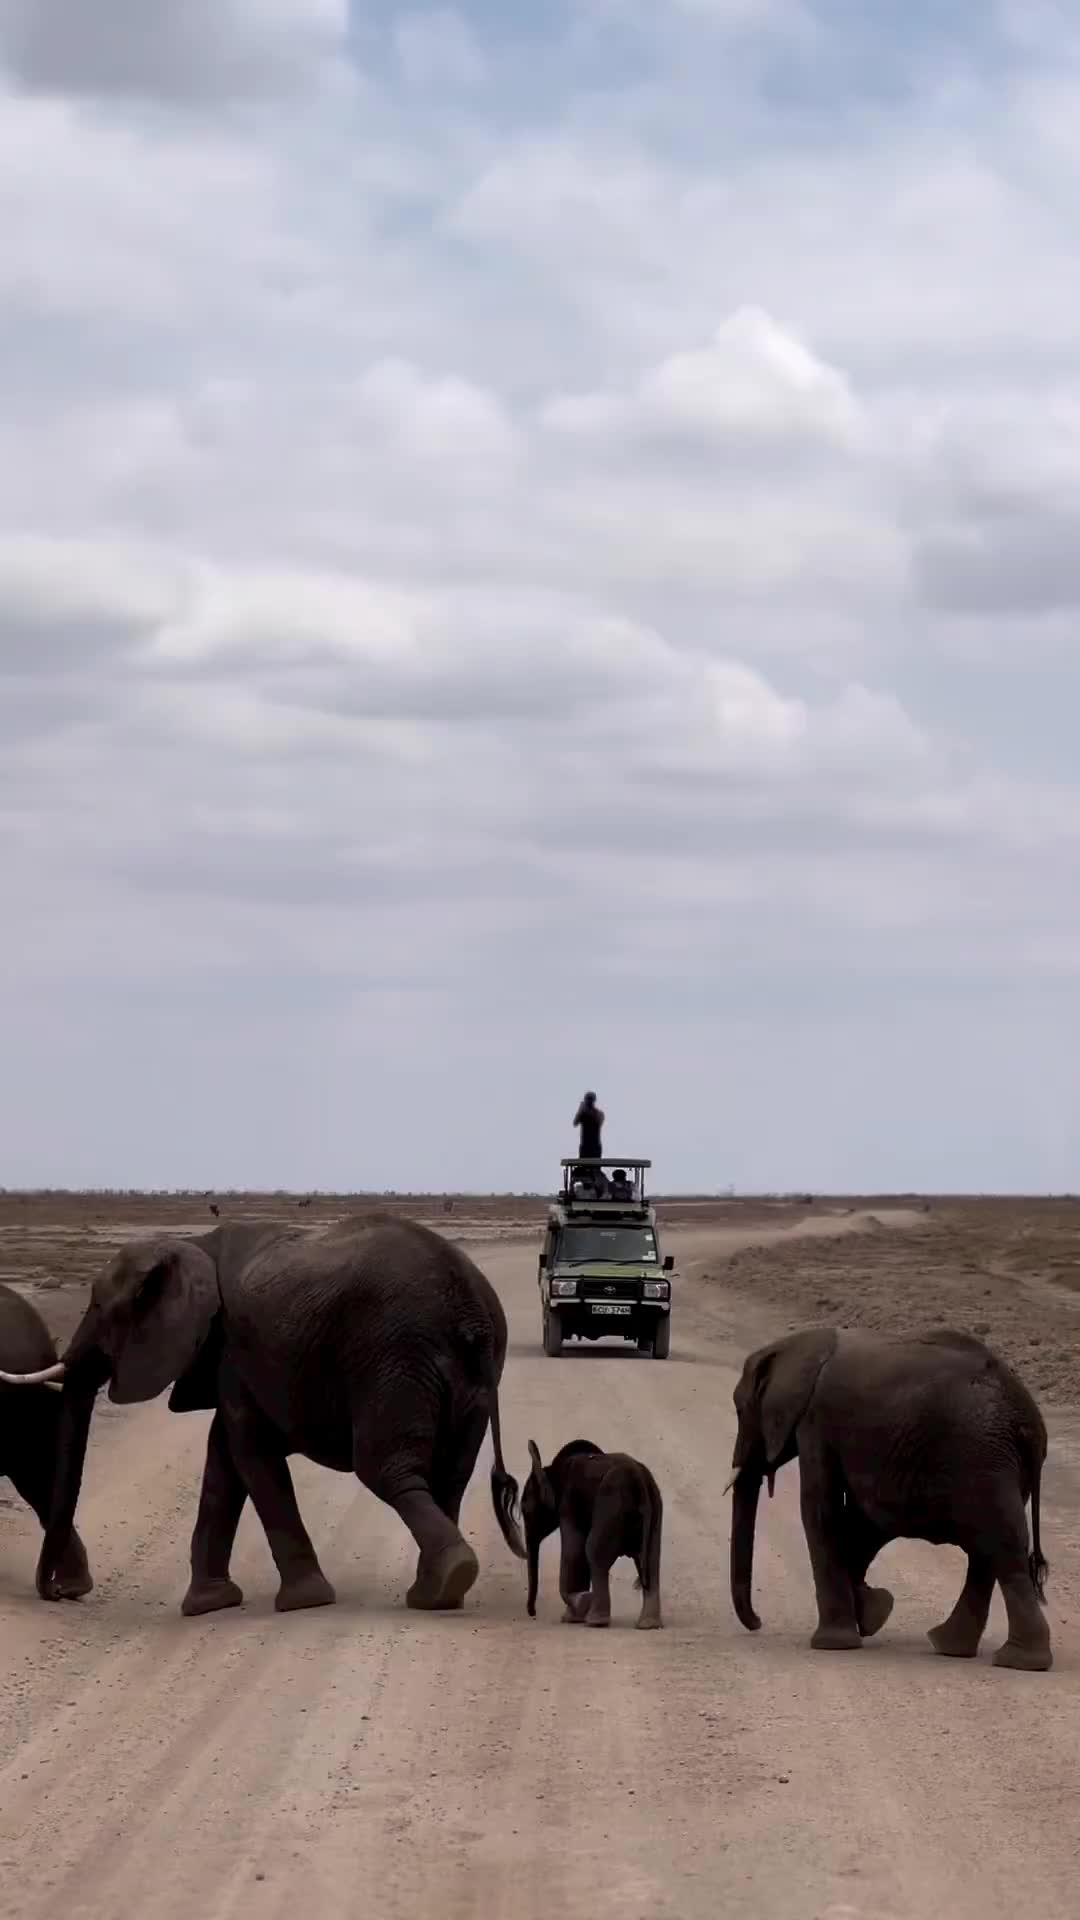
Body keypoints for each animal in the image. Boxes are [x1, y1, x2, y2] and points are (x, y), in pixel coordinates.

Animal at [0, 1221, 526, 1612]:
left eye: (97, 1307)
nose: (59, 1594)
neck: (193, 1245)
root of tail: (471, 1310)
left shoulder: (235, 1347)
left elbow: (248, 1452)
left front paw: (303, 1602)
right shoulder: (231, 1357)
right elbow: (224, 1463)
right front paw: (207, 1606)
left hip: (393, 1357)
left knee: (386, 1469)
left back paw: (444, 1581)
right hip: (468, 1377)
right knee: (449, 1477)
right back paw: (439, 1593)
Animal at [518, 1436, 661, 1628]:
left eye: (525, 1511)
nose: (532, 1613)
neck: (553, 1470)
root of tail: (639, 1482)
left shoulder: (569, 1502)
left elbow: (574, 1551)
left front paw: (575, 1611)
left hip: (610, 1505)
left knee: (594, 1552)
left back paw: (596, 1622)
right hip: (654, 1505)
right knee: (652, 1561)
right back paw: (648, 1625)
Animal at [726, 1328, 1045, 1674]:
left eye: (739, 1409)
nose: (758, 1622)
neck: (799, 1345)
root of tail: (1029, 1419)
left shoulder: (815, 1423)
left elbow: (821, 1509)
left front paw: (835, 1642)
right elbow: (862, 1520)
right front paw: (872, 1613)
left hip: (984, 1458)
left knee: (1001, 1547)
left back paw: (1019, 1661)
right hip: (998, 1463)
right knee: (987, 1550)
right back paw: (951, 1648)